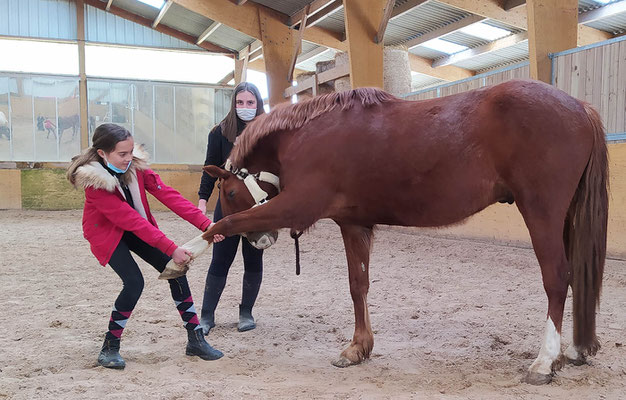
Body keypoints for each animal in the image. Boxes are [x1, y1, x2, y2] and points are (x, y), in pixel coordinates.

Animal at [200, 79, 604, 382]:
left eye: (230, 192)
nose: (261, 240)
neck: (309, 134)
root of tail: (580, 106)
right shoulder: (353, 224)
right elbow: (357, 284)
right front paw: (358, 348)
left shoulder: (298, 206)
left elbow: (226, 223)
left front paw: (190, 253)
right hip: (563, 217)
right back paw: (573, 350)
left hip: (541, 211)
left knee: (557, 277)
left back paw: (544, 361)